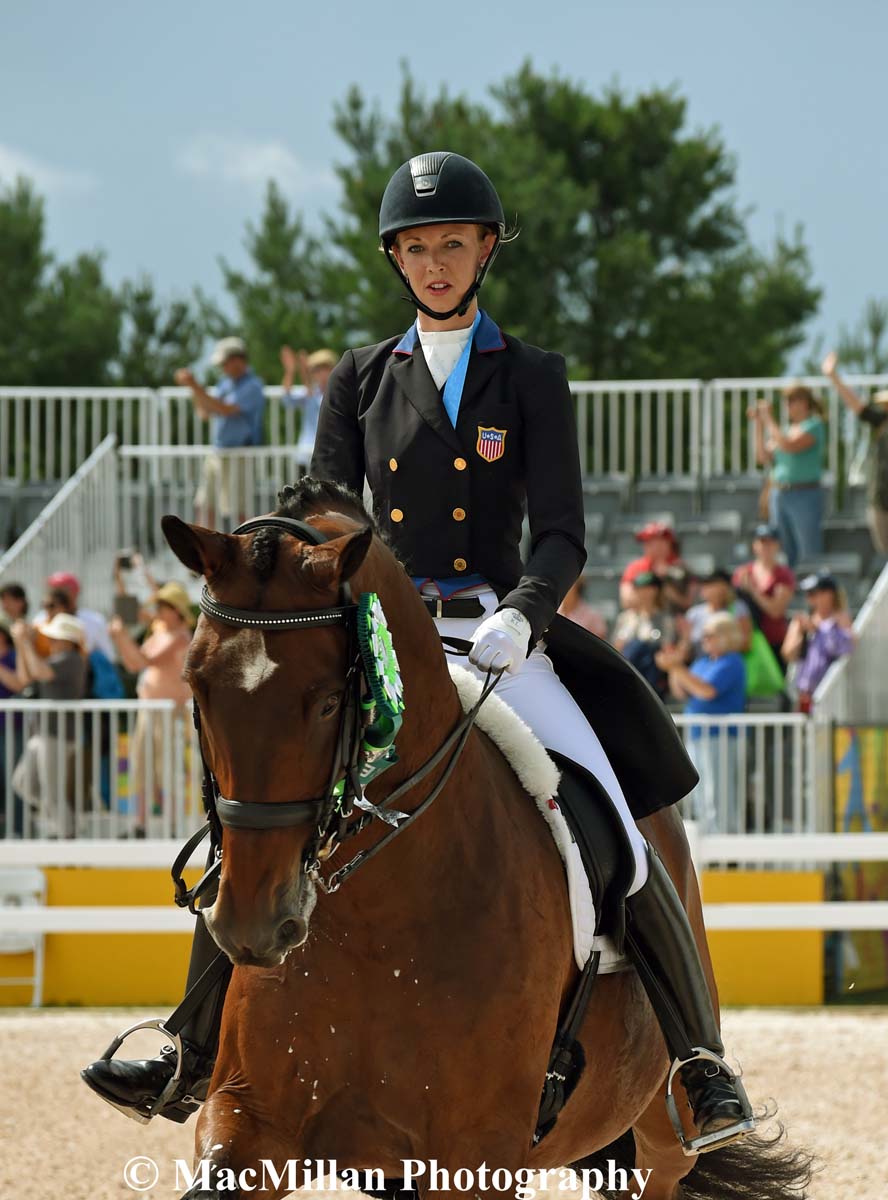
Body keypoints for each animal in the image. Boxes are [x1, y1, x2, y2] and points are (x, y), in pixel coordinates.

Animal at [163, 480, 816, 1200]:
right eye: (198, 687)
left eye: (331, 700)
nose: (254, 924)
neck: (379, 919)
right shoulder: (248, 1122)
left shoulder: (477, 1156)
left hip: (658, 1142)